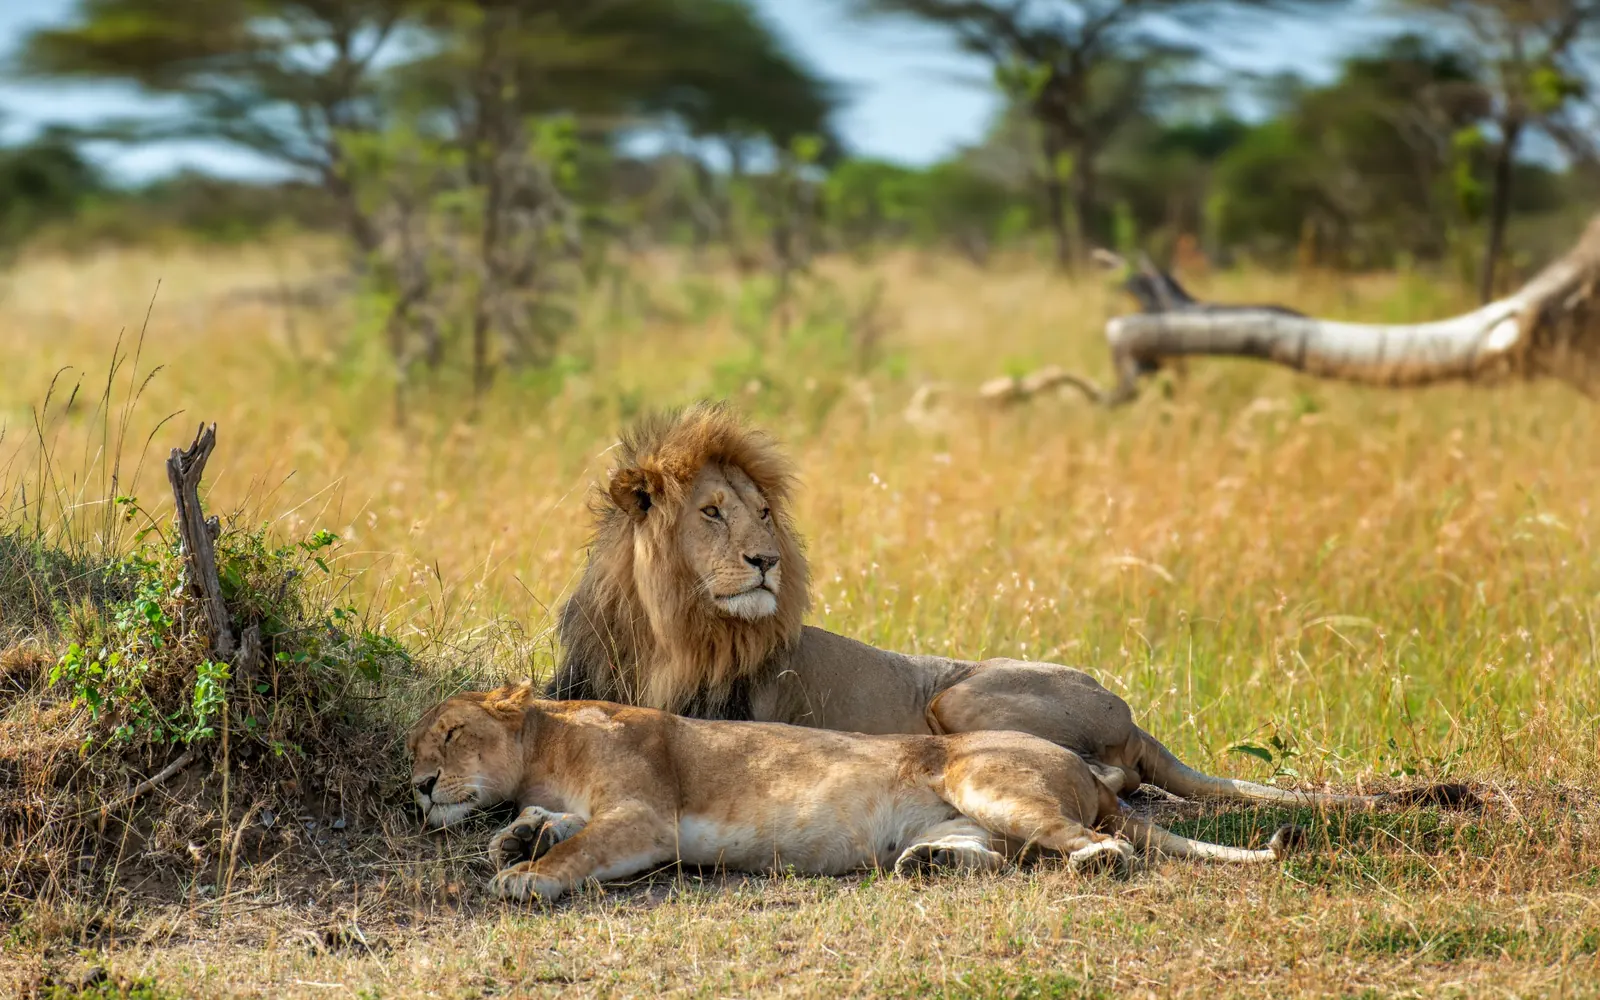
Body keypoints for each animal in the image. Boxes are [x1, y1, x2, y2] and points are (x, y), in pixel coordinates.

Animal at [546, 402, 1472, 811]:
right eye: (712, 512)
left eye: (764, 513)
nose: (766, 559)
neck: (669, 632)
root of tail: (1132, 712)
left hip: (961, 694)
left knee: (1112, 773)